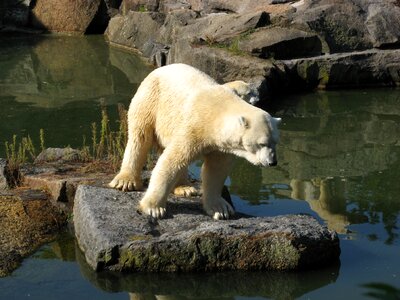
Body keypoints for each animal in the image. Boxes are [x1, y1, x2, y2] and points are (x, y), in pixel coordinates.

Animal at [108, 63, 280, 219]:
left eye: (275, 142)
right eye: (262, 143)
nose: (272, 162)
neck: (217, 110)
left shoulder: (220, 145)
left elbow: (216, 169)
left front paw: (220, 209)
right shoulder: (193, 127)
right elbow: (171, 161)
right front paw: (153, 208)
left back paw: (185, 188)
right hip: (150, 100)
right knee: (140, 137)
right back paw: (125, 181)